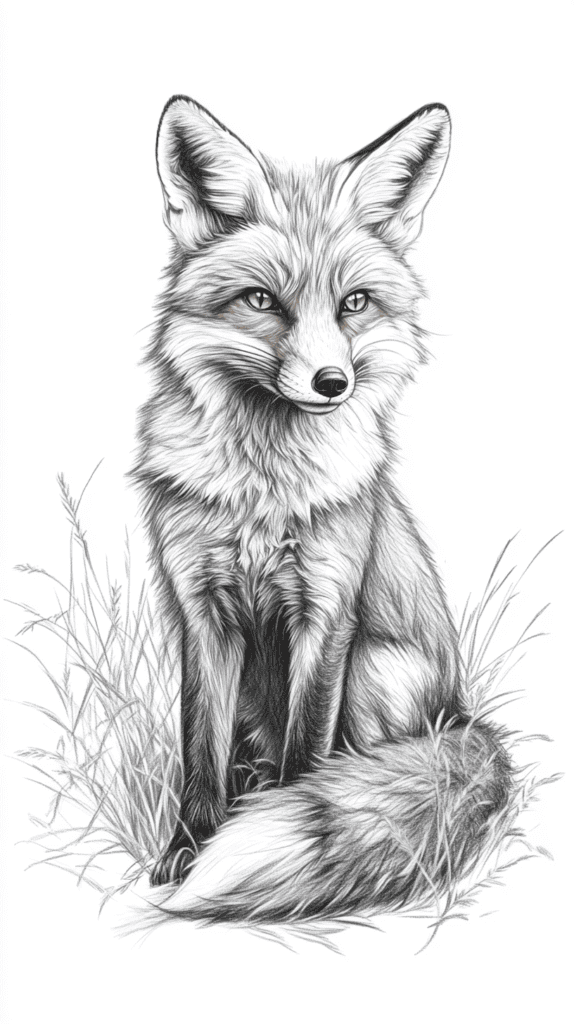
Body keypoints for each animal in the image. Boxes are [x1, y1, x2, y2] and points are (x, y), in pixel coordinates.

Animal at [133, 95, 511, 924]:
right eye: (262, 301)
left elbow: (309, 748)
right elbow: (198, 748)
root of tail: (464, 714)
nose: (332, 382)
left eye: (354, 304)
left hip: (377, 667)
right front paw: (187, 850)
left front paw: (282, 823)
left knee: (351, 758)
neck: (262, 493)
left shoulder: (328, 610)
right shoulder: (200, 612)